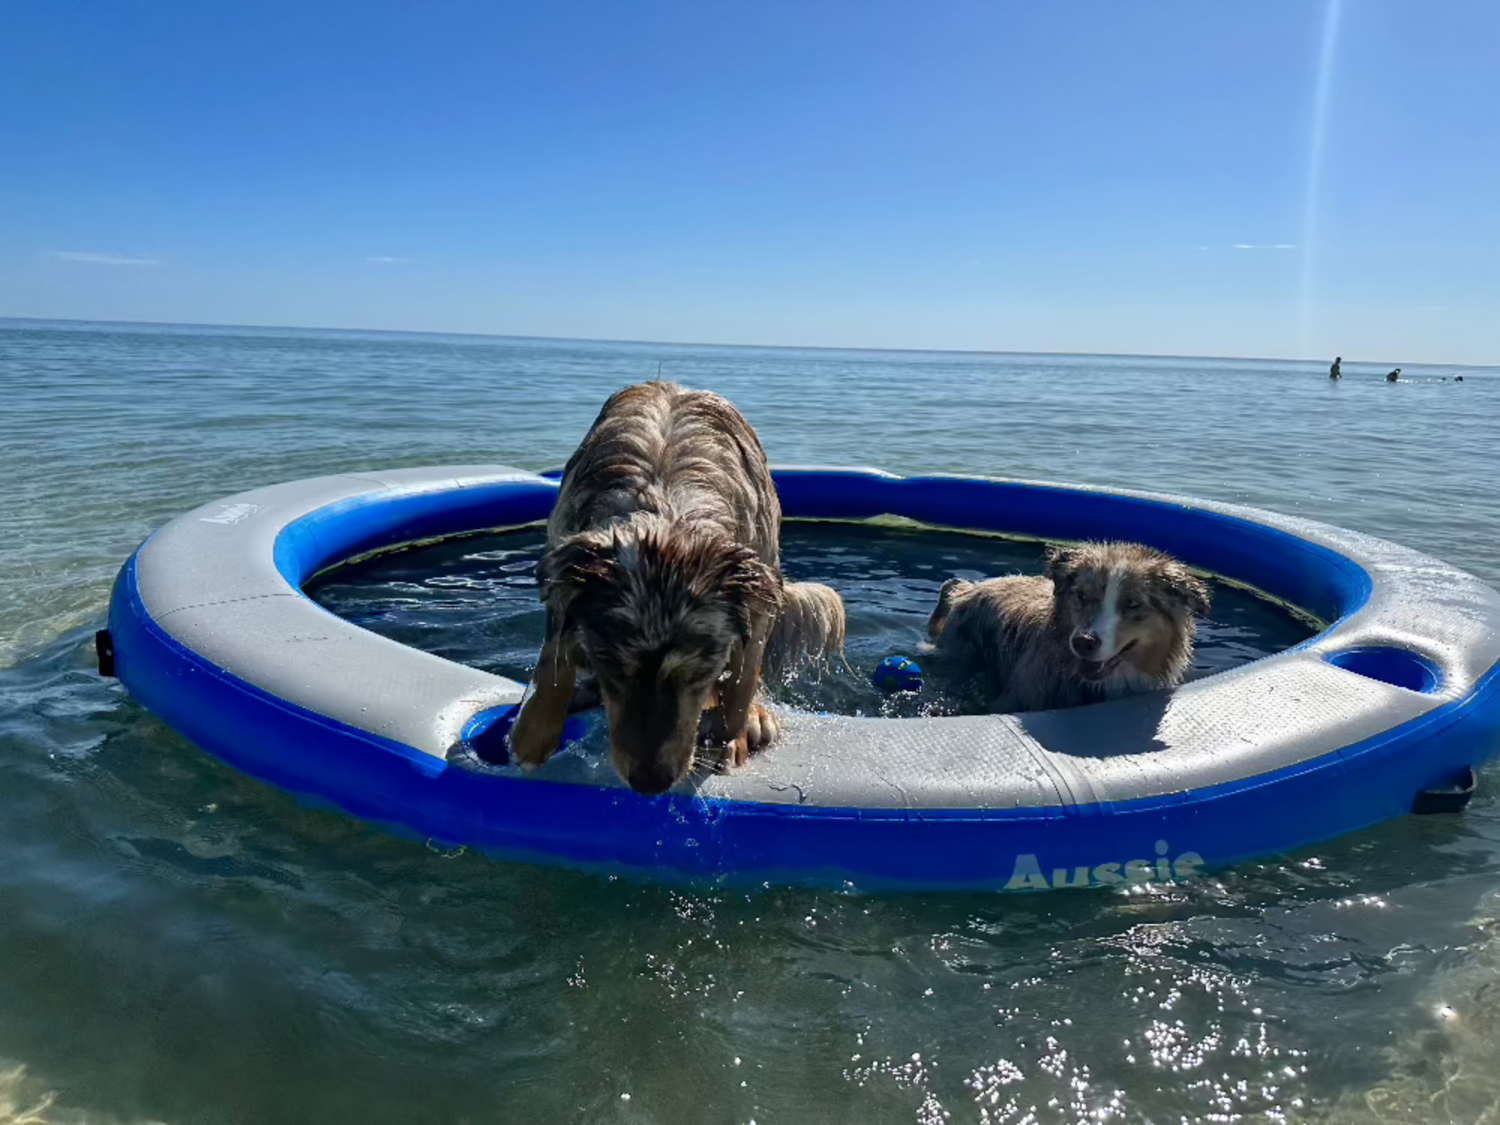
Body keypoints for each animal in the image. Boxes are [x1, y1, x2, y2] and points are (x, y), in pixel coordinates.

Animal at [510, 384, 846, 798]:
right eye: (614, 671)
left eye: (697, 676)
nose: (650, 783)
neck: (666, 503)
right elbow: (555, 652)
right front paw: (534, 732)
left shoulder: (761, 579)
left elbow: (742, 678)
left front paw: (730, 736)